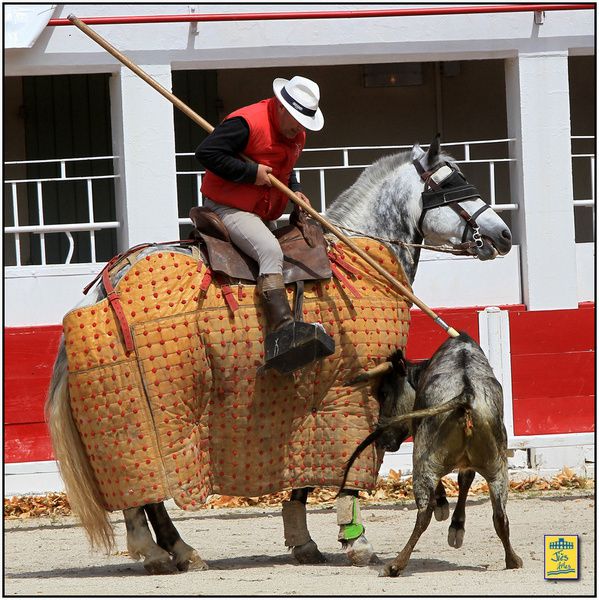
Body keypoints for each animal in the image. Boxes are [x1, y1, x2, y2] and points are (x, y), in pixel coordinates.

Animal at [45, 136, 510, 572]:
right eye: (450, 184)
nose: (503, 235)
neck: (360, 253)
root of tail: (108, 284)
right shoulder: (351, 394)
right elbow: (348, 465)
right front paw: (356, 541)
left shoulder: (310, 408)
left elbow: (305, 473)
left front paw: (304, 541)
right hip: (145, 410)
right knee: (145, 484)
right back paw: (168, 551)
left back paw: (171, 551)